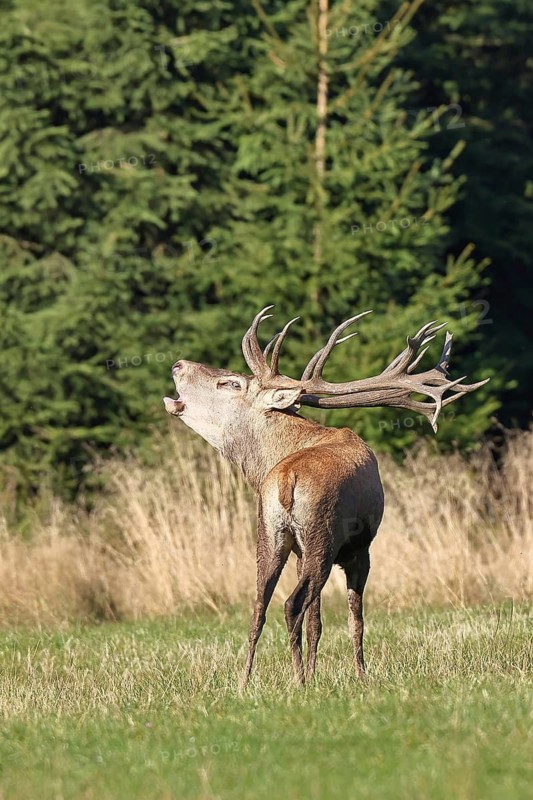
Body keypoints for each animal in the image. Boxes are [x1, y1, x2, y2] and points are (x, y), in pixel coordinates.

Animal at [163, 306, 488, 686]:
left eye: (231, 382)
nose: (178, 364)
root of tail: (286, 478)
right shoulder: (360, 548)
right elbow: (354, 617)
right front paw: (360, 676)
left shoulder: (301, 550)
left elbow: (316, 621)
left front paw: (318, 671)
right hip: (324, 536)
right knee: (292, 604)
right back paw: (298, 681)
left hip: (271, 532)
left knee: (260, 605)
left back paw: (246, 682)